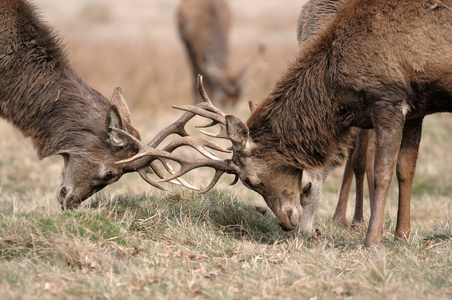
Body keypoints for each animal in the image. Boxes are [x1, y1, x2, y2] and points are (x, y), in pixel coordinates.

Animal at [120, 0, 452, 248]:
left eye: (250, 180)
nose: (288, 224)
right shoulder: (416, 106)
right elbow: (406, 169)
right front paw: (402, 236)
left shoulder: (388, 98)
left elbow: (381, 170)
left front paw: (372, 242)